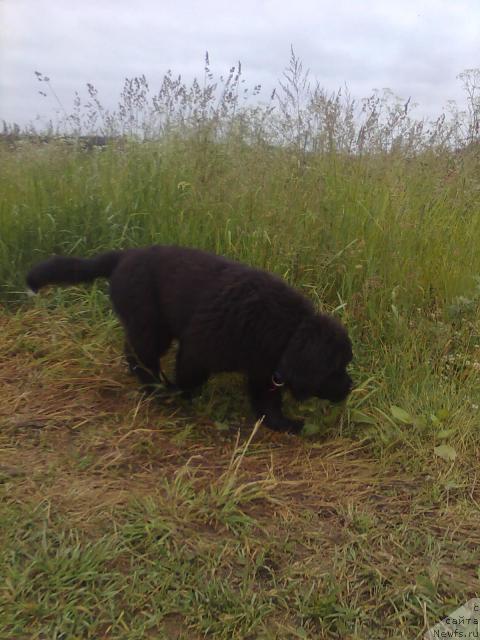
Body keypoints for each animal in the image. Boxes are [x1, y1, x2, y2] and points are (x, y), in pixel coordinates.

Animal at [27, 246, 352, 436]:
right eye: (335, 369)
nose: (350, 386)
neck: (285, 330)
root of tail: (123, 256)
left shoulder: (264, 369)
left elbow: (267, 402)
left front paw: (283, 424)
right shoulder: (197, 349)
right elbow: (190, 380)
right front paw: (181, 396)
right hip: (151, 325)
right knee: (137, 354)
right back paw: (158, 389)